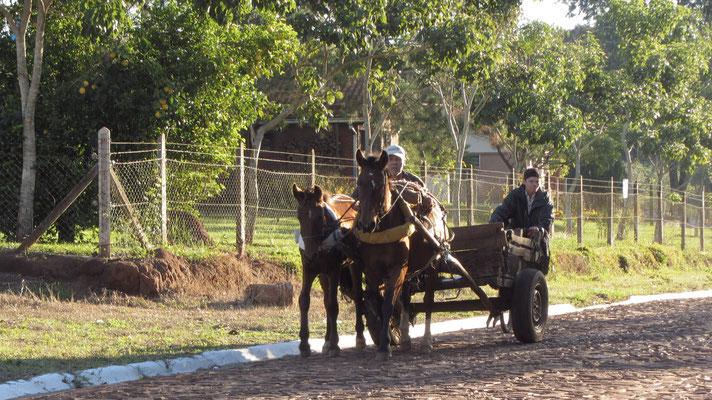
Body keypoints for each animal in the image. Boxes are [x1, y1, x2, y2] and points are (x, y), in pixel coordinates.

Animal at [290, 184, 368, 356]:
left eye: (319, 217)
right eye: (299, 216)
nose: (311, 254)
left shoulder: (334, 270)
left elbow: (333, 305)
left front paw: (334, 344)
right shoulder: (309, 268)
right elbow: (305, 300)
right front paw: (304, 344)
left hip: (353, 264)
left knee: (357, 295)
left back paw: (359, 336)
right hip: (322, 274)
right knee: (326, 299)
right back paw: (326, 340)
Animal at [354, 149, 448, 360]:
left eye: (380, 185)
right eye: (360, 182)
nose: (366, 224)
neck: (383, 229)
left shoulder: (398, 267)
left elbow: (389, 303)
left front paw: (384, 347)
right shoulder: (372, 270)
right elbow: (380, 303)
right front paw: (387, 339)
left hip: (433, 264)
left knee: (428, 301)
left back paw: (426, 341)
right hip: (410, 271)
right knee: (405, 298)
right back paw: (405, 338)